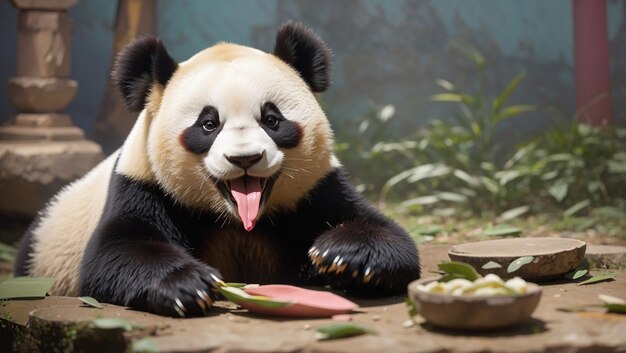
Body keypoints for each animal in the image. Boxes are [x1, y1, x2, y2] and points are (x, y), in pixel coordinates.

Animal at [14, 22, 422, 316]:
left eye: (272, 119)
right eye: (208, 124)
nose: (244, 159)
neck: (237, 221)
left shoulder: (315, 189)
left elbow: (385, 234)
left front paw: (345, 257)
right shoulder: (144, 185)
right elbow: (115, 251)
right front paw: (187, 285)